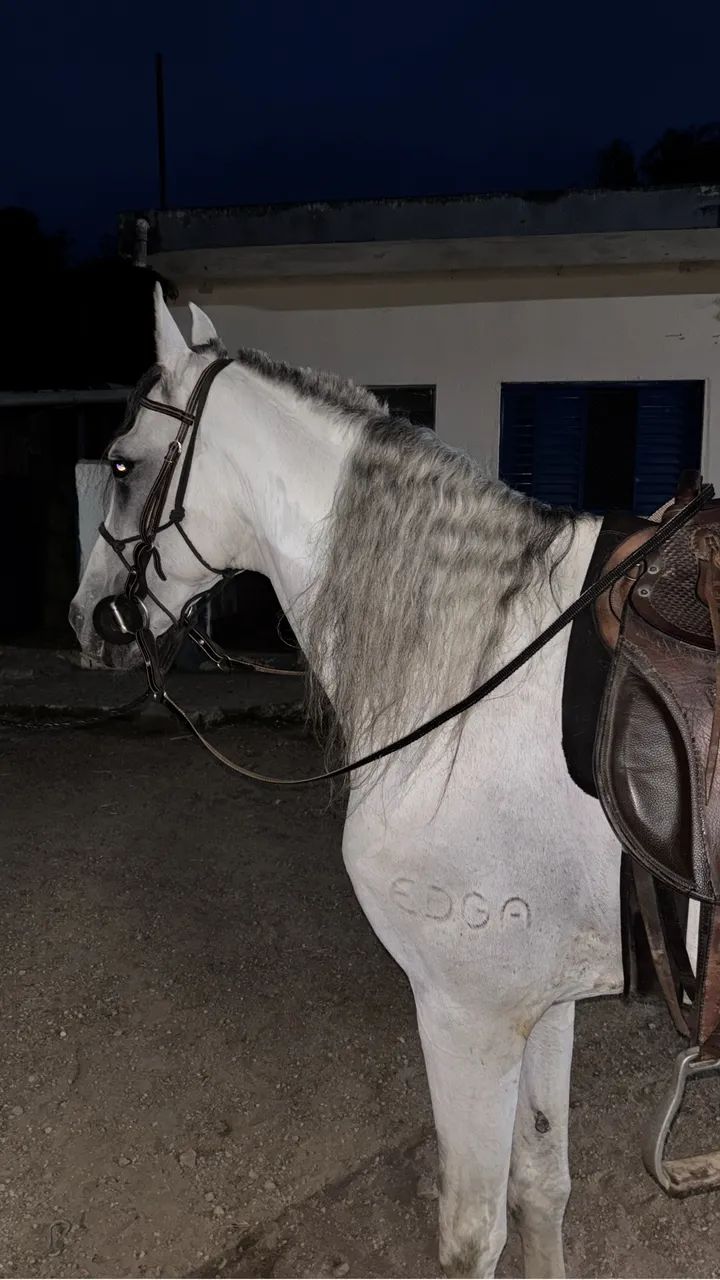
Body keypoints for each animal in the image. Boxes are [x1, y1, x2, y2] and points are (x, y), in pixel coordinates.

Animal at [70, 286, 623, 1279]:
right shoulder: (542, 1002)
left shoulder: (467, 1016)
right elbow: (544, 1188)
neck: (486, 661)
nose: (88, 615)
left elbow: (470, 1236)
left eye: (124, 463)